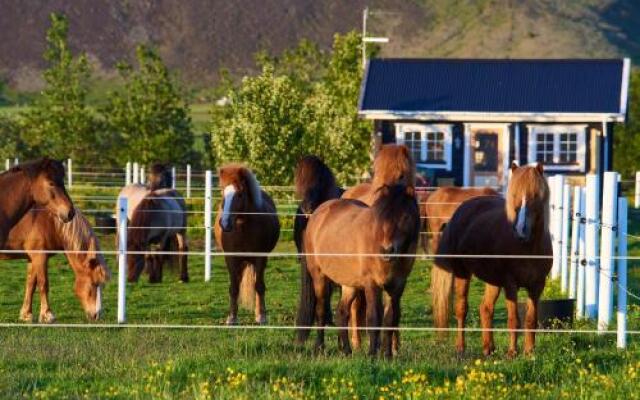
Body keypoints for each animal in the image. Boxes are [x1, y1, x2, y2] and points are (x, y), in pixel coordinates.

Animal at [215, 165, 280, 324]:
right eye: (222, 192)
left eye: (239, 194)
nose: (224, 223)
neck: (242, 227)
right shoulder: (231, 259)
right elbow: (234, 287)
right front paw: (232, 318)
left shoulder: (260, 258)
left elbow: (259, 286)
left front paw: (261, 316)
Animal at [298, 183, 420, 358]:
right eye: (383, 217)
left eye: (405, 217)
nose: (387, 250)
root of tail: (317, 213)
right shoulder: (372, 285)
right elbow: (374, 318)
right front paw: (372, 355)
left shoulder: (397, 287)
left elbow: (390, 319)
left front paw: (388, 356)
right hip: (319, 277)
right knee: (321, 310)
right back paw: (319, 348)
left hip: (350, 285)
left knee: (342, 313)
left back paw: (346, 351)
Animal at [432, 162, 552, 356]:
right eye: (514, 195)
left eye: (535, 196)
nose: (520, 230)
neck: (528, 248)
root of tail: (460, 210)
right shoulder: (511, 284)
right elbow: (513, 319)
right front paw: (512, 353)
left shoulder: (537, 285)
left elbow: (531, 319)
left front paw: (529, 352)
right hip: (462, 273)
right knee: (461, 309)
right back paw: (461, 347)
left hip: (493, 281)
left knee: (486, 308)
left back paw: (488, 348)